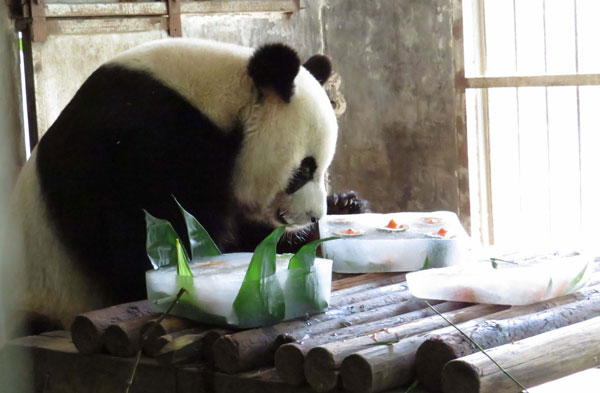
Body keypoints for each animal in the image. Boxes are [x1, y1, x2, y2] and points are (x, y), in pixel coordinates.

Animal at [10, 38, 366, 330]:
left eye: (324, 168)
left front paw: (346, 205)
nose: (313, 215)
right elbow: (150, 241)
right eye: (303, 170)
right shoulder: (144, 146)